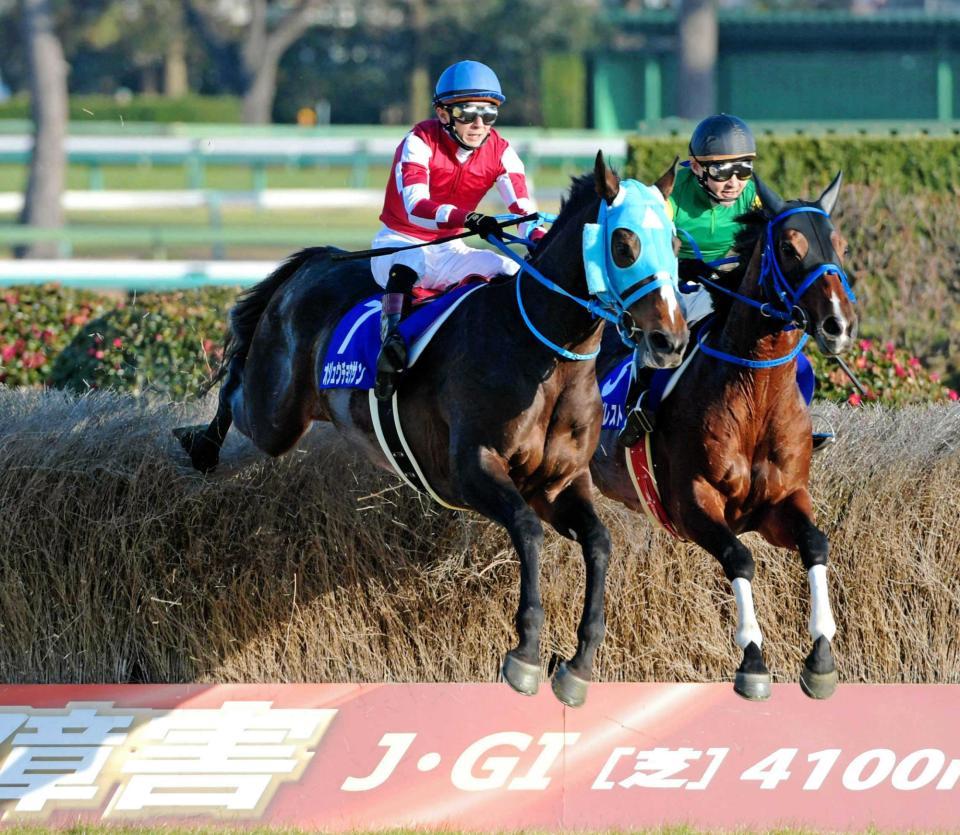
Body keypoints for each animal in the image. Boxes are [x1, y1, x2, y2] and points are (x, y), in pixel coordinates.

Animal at [176, 152, 688, 704]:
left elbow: (599, 543)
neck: (542, 352)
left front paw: (579, 665)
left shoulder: (560, 483)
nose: (670, 341)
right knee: (236, 384)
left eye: (675, 241)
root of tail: (319, 261)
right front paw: (526, 653)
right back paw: (200, 444)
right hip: (276, 414)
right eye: (624, 244)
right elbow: (527, 530)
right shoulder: (471, 470)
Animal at [592, 173, 856, 704]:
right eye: (790, 248)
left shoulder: (780, 503)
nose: (838, 325)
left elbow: (817, 544)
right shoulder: (693, 504)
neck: (755, 393)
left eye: (839, 246)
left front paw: (821, 654)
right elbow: (739, 557)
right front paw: (752, 660)